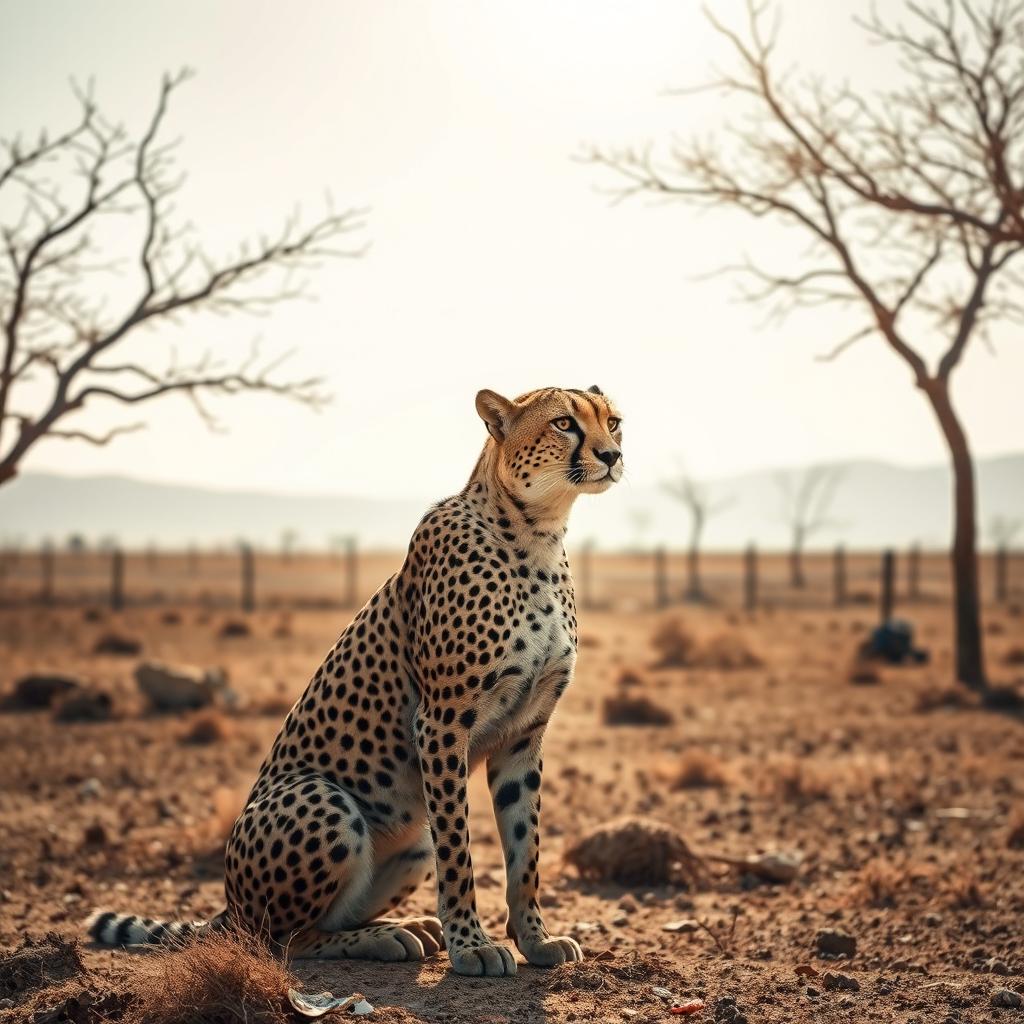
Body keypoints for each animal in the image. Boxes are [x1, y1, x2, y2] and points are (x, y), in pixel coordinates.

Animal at [87, 384, 624, 977]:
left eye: (614, 422)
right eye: (564, 424)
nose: (612, 456)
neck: (536, 534)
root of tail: (229, 906)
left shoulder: (523, 734)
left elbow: (525, 849)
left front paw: (535, 939)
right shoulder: (441, 722)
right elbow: (459, 850)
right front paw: (471, 946)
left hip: (412, 841)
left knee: (325, 918)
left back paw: (407, 928)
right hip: (324, 801)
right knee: (279, 939)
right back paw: (387, 938)